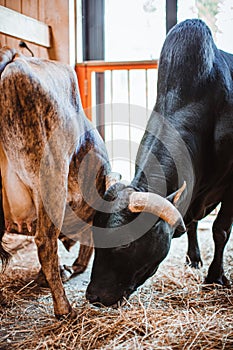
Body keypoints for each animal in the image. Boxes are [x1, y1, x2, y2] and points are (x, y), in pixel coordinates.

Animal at [87, 19, 233, 306]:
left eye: (125, 243)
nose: (93, 296)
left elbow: (220, 230)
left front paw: (215, 277)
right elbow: (193, 223)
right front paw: (195, 259)